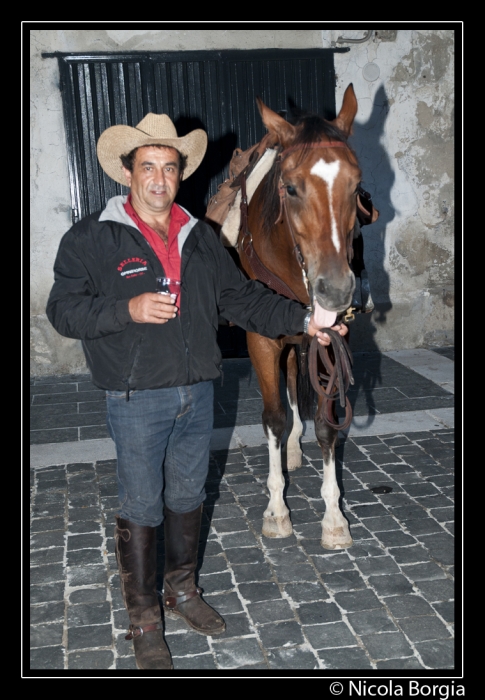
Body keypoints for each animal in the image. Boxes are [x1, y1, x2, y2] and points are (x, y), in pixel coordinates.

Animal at [236, 83, 362, 552]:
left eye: (357, 185)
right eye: (289, 188)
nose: (336, 289)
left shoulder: (330, 338)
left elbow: (327, 425)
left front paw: (333, 517)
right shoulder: (261, 339)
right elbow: (272, 418)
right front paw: (277, 510)